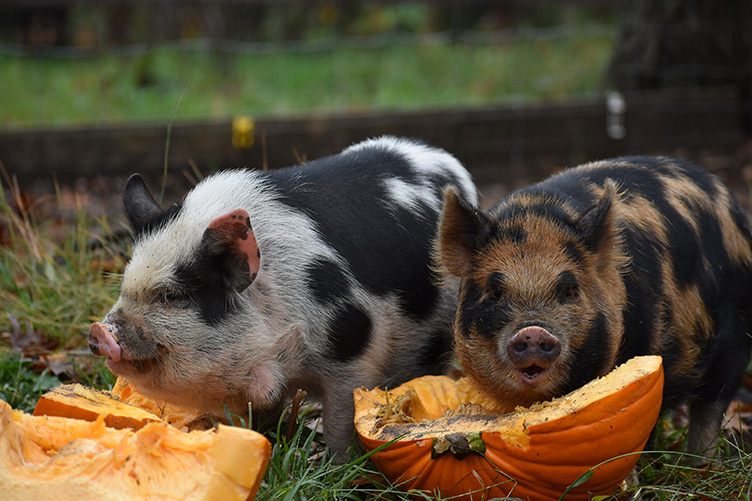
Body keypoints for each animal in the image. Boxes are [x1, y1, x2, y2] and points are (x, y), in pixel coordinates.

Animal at [89, 136, 478, 456]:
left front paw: (337, 469)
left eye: (172, 295)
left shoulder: (352, 351)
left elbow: (341, 420)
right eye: (124, 286)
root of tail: (445, 160)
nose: (99, 331)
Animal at [437, 156, 752, 456]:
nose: (533, 331)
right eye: (495, 291)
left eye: (570, 290)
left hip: (735, 336)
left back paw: (700, 464)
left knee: (712, 403)